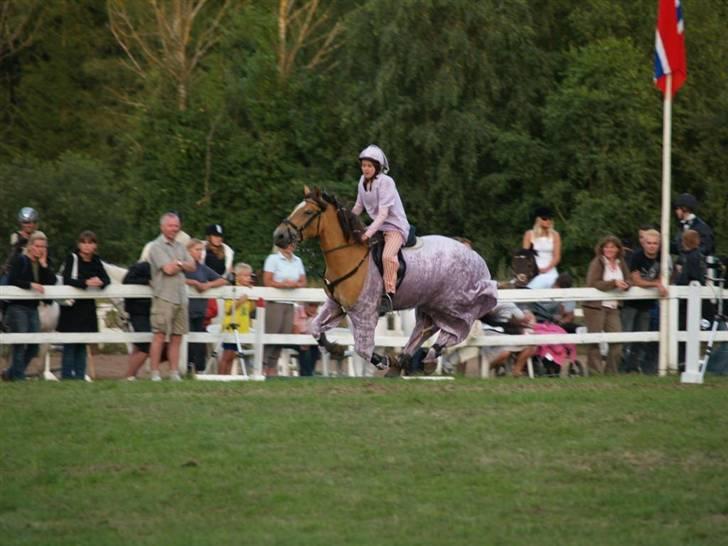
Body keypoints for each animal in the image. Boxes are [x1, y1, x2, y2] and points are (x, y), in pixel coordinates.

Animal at [272, 187, 500, 374]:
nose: (279, 236)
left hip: (455, 304)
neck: (349, 256)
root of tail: (475, 256)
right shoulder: (336, 305)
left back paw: (427, 356)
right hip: (432, 305)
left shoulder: (363, 312)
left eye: (308, 212)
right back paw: (408, 359)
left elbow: (363, 349)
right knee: (426, 329)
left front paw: (383, 361)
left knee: (456, 330)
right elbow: (315, 328)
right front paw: (335, 348)